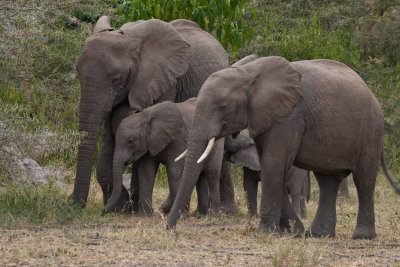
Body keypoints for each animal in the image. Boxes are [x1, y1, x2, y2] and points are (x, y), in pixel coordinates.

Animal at [70, 15, 230, 210]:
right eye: (78, 74)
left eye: (116, 79)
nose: (73, 203)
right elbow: (109, 138)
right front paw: (122, 205)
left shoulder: (165, 82)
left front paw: (129, 206)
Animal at [167, 55, 400, 241]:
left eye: (223, 106)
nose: (171, 229)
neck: (249, 73)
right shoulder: (265, 117)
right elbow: (271, 165)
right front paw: (294, 231)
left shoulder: (289, 117)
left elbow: (274, 163)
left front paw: (264, 234)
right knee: (327, 181)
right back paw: (318, 234)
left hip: (370, 131)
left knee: (364, 179)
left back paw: (362, 236)